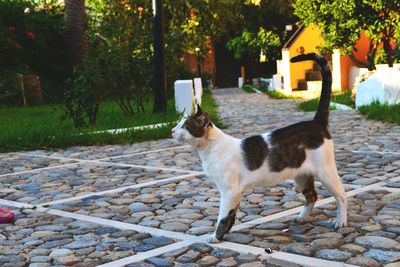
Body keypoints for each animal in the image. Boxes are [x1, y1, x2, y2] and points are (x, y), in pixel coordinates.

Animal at [172, 52, 346, 243]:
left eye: (184, 126)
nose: (172, 130)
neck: (210, 149)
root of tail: (316, 123)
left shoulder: (229, 191)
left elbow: (223, 217)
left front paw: (216, 238)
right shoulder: (235, 192)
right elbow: (232, 215)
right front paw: (226, 233)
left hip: (325, 171)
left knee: (342, 196)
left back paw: (341, 222)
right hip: (301, 176)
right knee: (313, 196)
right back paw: (302, 217)